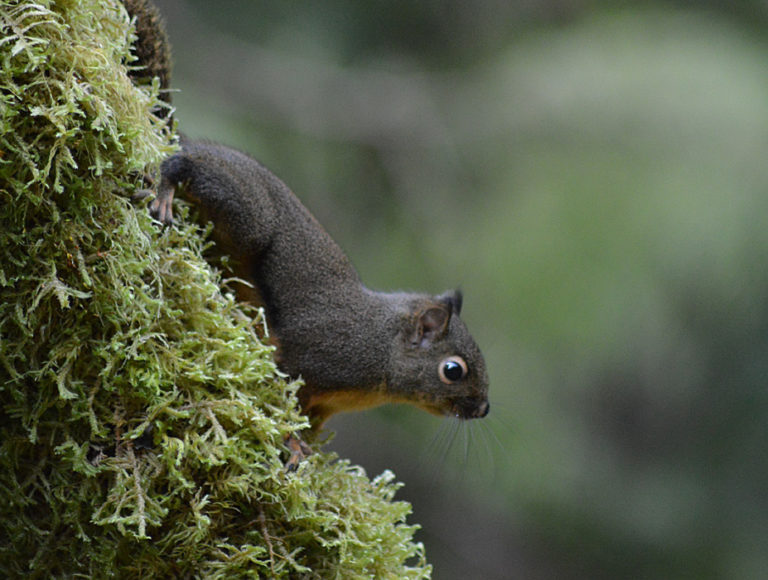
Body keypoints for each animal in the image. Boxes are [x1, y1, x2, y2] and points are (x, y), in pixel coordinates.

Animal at [123, 1, 488, 448]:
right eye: (453, 370)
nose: (484, 408)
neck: (379, 347)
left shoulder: (324, 407)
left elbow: (309, 425)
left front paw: (304, 450)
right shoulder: (312, 356)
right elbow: (288, 394)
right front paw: (293, 443)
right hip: (249, 215)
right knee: (182, 164)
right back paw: (166, 187)